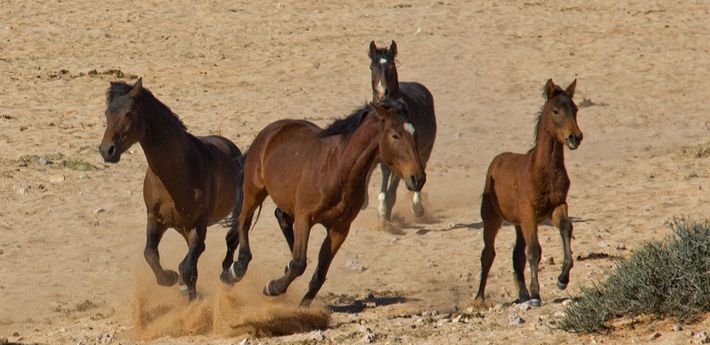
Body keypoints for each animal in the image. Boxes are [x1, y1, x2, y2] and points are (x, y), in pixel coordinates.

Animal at [220, 98, 426, 306]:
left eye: (415, 134)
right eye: (395, 135)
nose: (417, 178)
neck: (338, 170)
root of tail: (267, 132)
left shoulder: (339, 229)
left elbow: (319, 273)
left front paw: (303, 306)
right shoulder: (305, 217)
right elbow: (299, 264)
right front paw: (272, 287)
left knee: (280, 217)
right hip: (254, 190)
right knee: (244, 222)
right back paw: (235, 270)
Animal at [364, 40, 436, 220]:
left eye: (390, 65)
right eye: (372, 66)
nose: (382, 92)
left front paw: (385, 210)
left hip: (425, 151)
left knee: (420, 169)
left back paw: (417, 206)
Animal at [478, 78, 584, 306]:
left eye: (575, 109)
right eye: (555, 111)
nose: (575, 137)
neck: (543, 170)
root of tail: (496, 161)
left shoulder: (557, 207)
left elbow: (566, 228)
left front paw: (562, 279)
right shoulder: (529, 215)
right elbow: (534, 249)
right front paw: (536, 295)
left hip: (518, 224)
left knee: (516, 255)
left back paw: (523, 293)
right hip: (491, 218)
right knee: (488, 254)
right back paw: (479, 298)